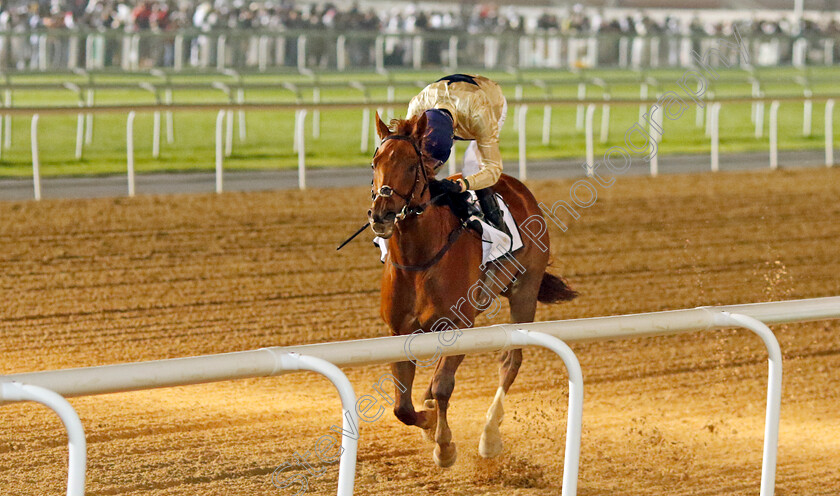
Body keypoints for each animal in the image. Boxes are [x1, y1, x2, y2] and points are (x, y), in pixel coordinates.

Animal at [370, 111, 576, 464]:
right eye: (374, 163)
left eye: (411, 165)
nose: (381, 214)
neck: (419, 259)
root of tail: (518, 187)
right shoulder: (399, 330)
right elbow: (402, 406)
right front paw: (428, 420)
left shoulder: (458, 324)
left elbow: (443, 385)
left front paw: (444, 445)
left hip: (525, 290)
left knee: (510, 360)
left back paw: (490, 434)